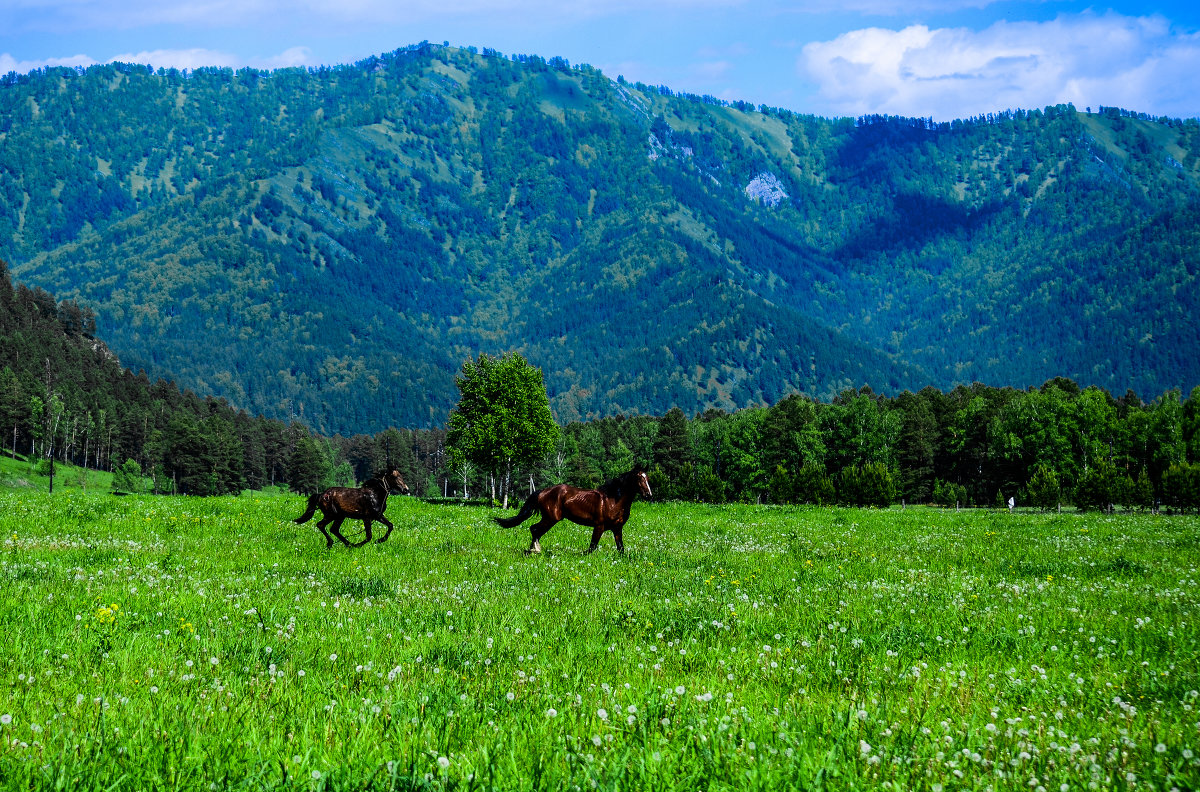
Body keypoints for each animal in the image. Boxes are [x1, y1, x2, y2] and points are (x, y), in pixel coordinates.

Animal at [492, 468, 652, 554]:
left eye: (647, 478)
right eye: (639, 479)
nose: (649, 495)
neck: (613, 500)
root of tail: (542, 492)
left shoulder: (617, 528)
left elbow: (621, 548)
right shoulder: (599, 526)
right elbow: (592, 547)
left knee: (535, 530)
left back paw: (533, 550)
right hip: (551, 518)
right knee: (535, 529)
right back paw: (535, 550)